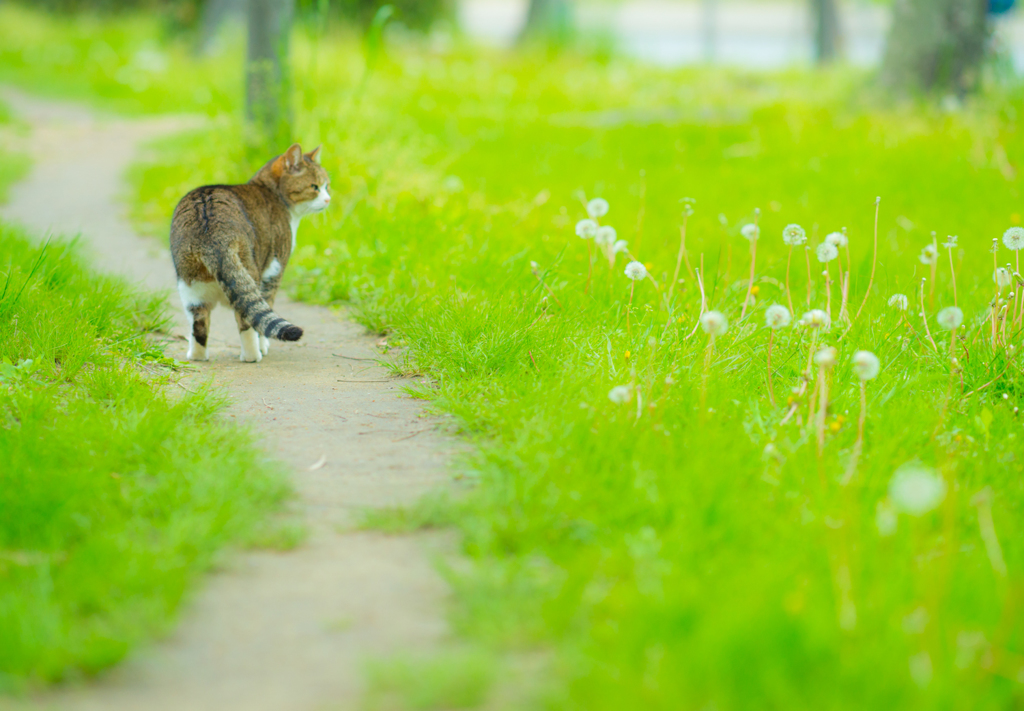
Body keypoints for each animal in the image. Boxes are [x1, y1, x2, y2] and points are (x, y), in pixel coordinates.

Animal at [167, 144, 327, 362]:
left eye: (326, 185)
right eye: (315, 187)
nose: (328, 199)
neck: (271, 192)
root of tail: (212, 232)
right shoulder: (275, 270)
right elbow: (265, 314)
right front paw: (264, 345)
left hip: (190, 285)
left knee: (199, 323)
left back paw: (197, 356)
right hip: (252, 275)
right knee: (248, 319)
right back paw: (253, 355)